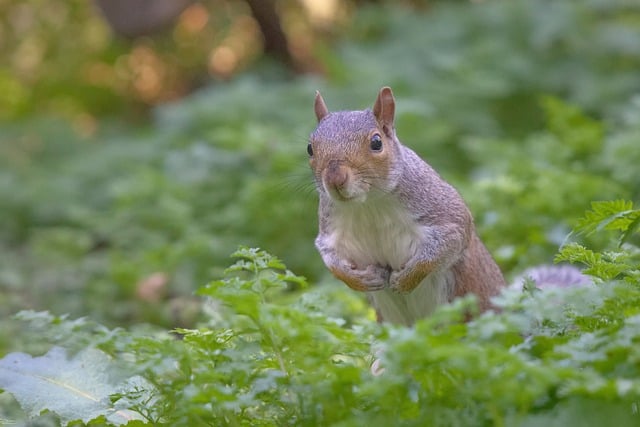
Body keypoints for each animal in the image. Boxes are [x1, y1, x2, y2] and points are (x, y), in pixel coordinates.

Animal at [308, 87, 508, 328]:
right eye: (310, 148)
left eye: (376, 142)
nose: (335, 178)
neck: (368, 204)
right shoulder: (331, 229)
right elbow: (330, 256)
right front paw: (360, 279)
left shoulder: (442, 212)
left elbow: (445, 244)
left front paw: (405, 279)